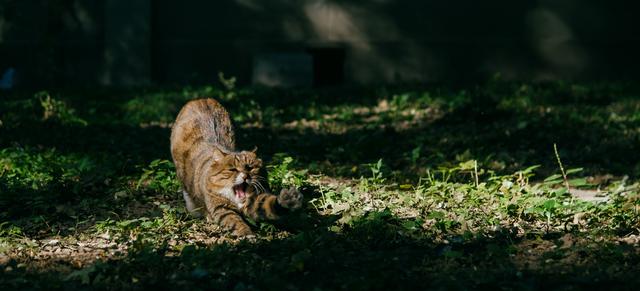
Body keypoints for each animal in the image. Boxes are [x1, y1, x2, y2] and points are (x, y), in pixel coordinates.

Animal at [169, 99, 302, 236]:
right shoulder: (221, 208)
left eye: (250, 168)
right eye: (233, 170)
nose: (245, 176)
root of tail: (200, 99)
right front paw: (246, 234)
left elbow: (268, 204)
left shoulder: (255, 200)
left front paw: (287, 200)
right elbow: (235, 221)